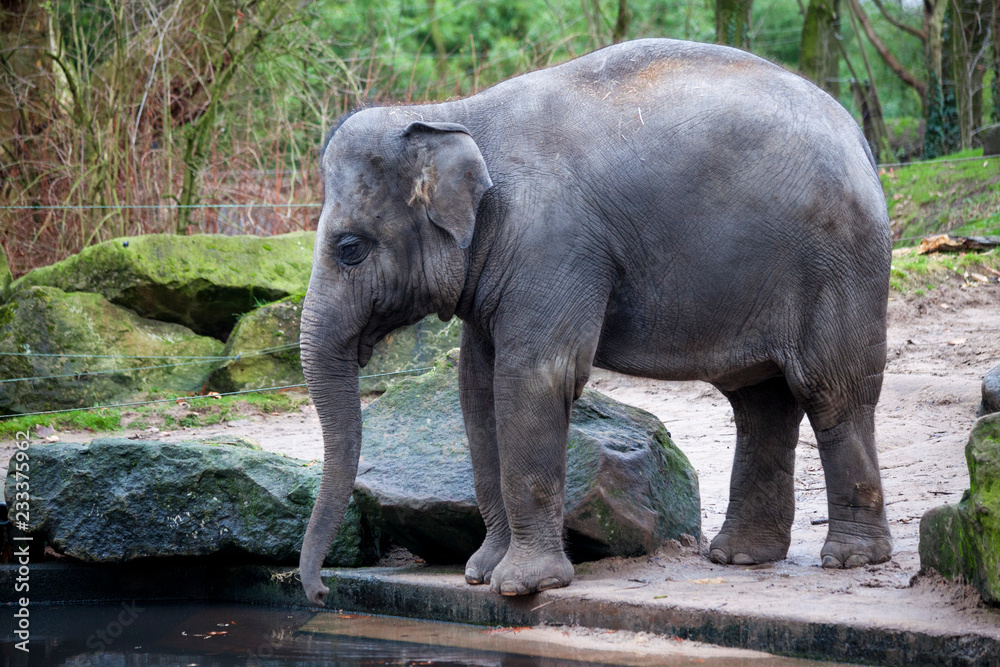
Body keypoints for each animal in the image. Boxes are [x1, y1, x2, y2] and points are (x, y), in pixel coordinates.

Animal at [298, 38, 893, 605]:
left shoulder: (552, 243)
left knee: (831, 390)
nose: (321, 591)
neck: (452, 112)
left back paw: (851, 560)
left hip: (838, 264)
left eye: (349, 249)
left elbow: (534, 377)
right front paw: (479, 574)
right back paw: (741, 557)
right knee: (760, 400)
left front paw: (521, 586)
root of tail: (860, 139)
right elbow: (477, 388)